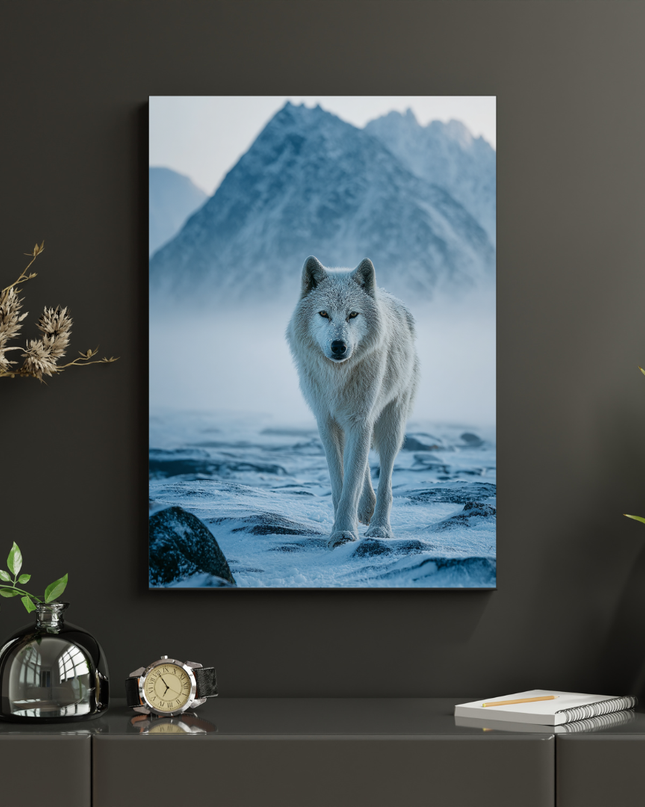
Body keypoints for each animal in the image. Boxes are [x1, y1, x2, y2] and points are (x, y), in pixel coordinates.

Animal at [286, 256, 419, 548]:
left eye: (353, 315)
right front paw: (341, 527)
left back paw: (380, 527)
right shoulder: (327, 423)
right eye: (324, 314)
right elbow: (340, 482)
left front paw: (344, 533)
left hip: (391, 425)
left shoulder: (360, 421)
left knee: (386, 482)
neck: (338, 376)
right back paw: (366, 510)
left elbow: (351, 484)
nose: (339, 346)